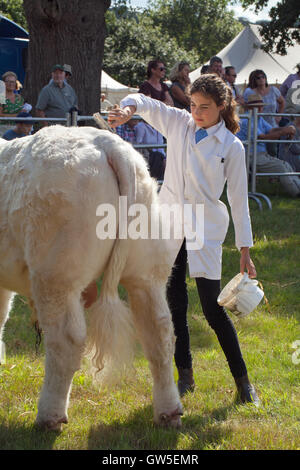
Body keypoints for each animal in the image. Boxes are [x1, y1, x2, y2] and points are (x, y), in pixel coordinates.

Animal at [0, 125, 183, 430]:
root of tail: (106, 142)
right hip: (147, 273)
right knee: (159, 333)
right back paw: (169, 411)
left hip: (56, 276)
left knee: (65, 342)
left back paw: (49, 417)